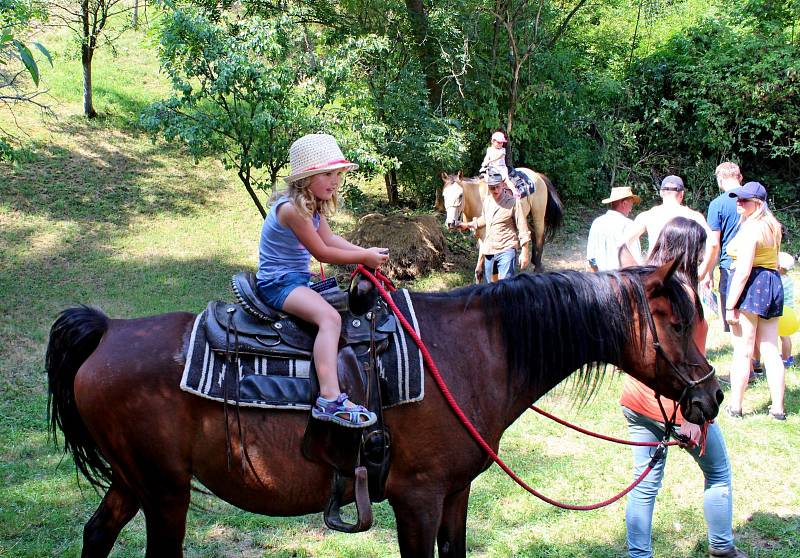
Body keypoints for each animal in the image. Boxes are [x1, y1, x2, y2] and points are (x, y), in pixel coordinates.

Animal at [45, 264, 720, 558]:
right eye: (676, 320)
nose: (709, 396)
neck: (469, 353)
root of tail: (107, 332)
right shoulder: (416, 498)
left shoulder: (454, 494)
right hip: (165, 492)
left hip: (135, 482)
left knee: (96, 533)